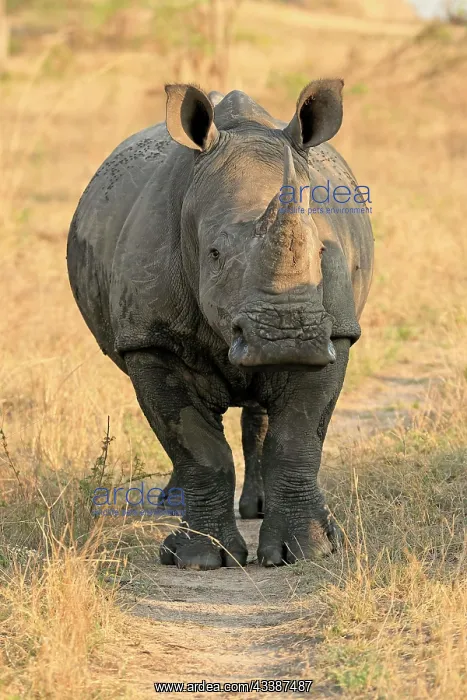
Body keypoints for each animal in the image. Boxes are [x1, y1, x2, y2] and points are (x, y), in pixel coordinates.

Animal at [67, 79, 373, 569]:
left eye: (323, 251)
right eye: (213, 254)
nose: (285, 338)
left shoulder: (335, 331)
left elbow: (298, 437)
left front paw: (308, 550)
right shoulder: (151, 339)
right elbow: (197, 448)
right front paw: (199, 559)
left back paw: (260, 509)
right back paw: (170, 505)